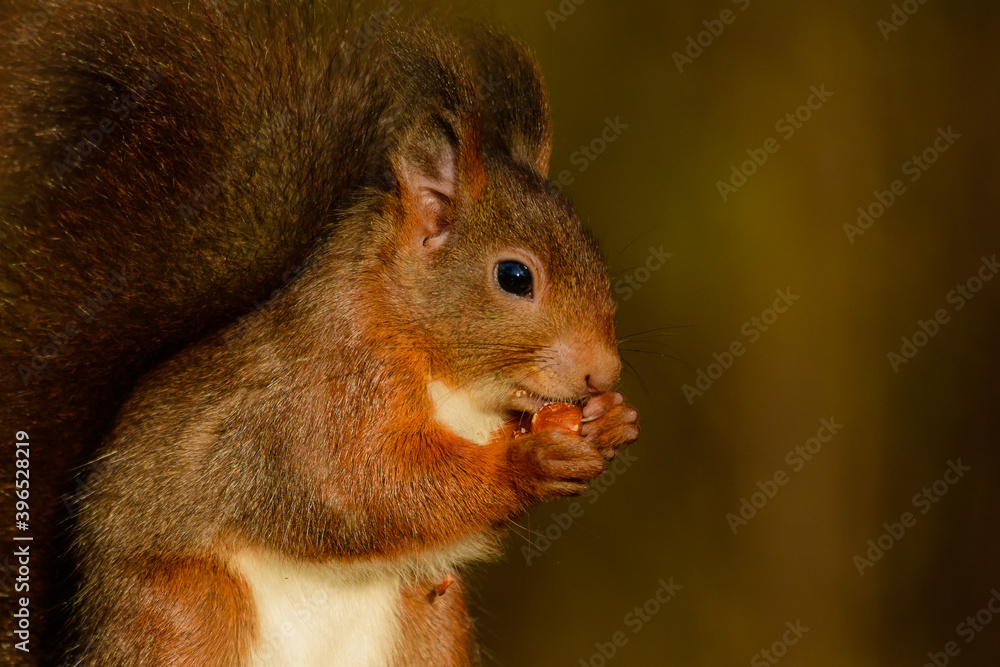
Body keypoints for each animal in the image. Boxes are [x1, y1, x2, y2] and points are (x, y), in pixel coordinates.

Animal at [0, 0, 639, 664]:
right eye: (514, 276)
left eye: (594, 253)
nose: (603, 373)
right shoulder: (326, 392)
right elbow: (358, 487)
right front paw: (527, 463)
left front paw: (612, 421)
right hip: (188, 611)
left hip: (430, 617)